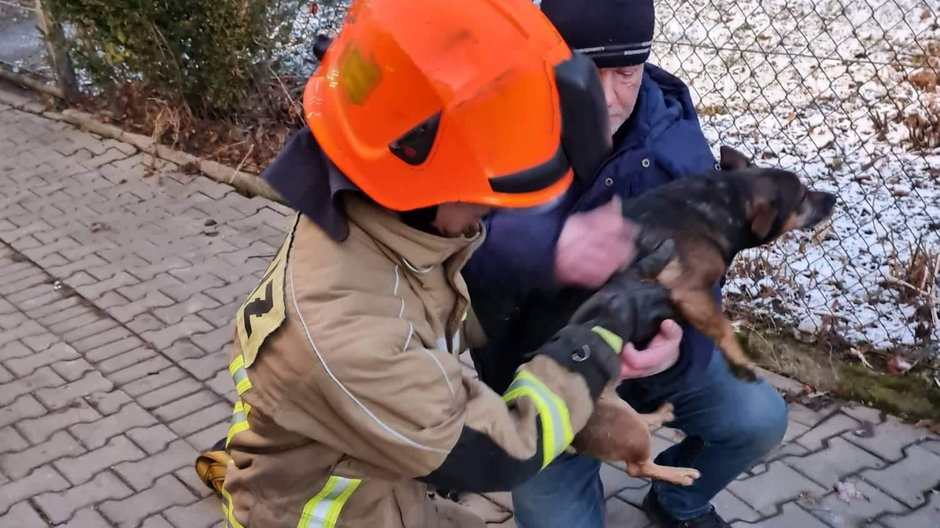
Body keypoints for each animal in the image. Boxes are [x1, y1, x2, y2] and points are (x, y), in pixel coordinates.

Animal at [544, 146, 836, 484]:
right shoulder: (690, 292)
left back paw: (657, 416)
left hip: (620, 411)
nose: (834, 198)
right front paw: (741, 364)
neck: (726, 201)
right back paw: (680, 473)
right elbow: (723, 327)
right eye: (802, 197)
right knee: (637, 466)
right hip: (619, 423)